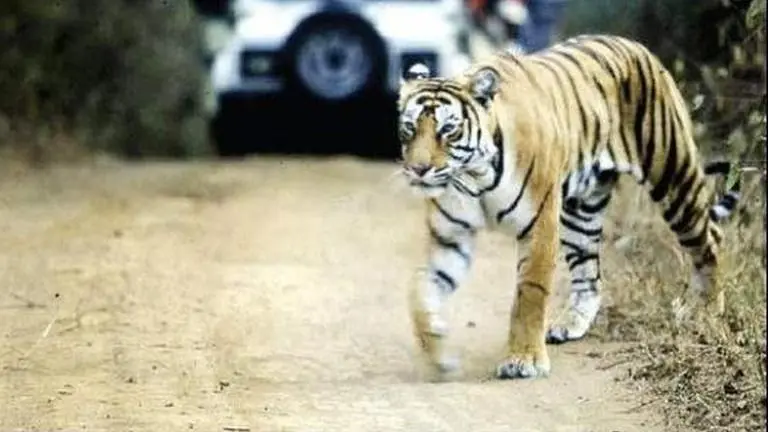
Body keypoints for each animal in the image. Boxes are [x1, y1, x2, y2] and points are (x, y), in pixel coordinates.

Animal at [396, 34, 742, 380]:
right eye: (410, 128)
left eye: (448, 130)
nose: (418, 169)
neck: (474, 175)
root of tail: (635, 45)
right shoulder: (451, 238)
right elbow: (420, 289)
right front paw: (440, 354)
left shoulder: (539, 225)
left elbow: (529, 293)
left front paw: (524, 360)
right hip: (581, 212)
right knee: (589, 274)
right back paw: (570, 324)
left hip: (672, 176)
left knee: (710, 239)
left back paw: (706, 311)